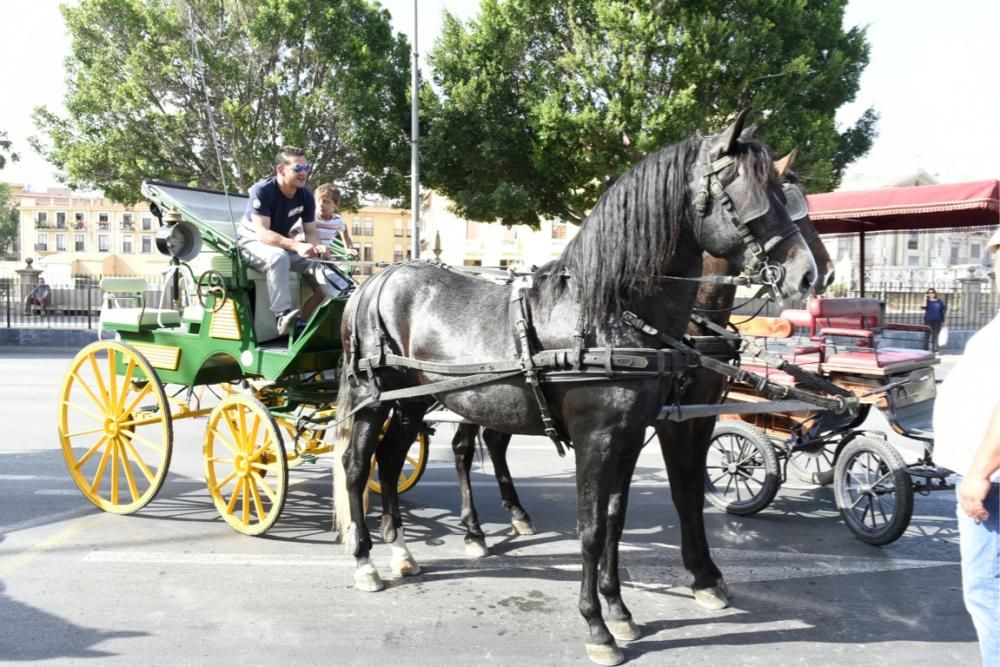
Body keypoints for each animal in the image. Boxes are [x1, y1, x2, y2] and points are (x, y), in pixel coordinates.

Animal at [332, 111, 816, 667]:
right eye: (746, 192)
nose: (809, 275)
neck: (611, 314)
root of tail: (376, 279)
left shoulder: (632, 435)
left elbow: (616, 520)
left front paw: (620, 610)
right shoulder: (599, 438)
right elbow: (592, 529)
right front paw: (597, 626)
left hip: (414, 402)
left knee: (391, 459)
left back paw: (401, 549)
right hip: (373, 399)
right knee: (357, 465)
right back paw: (366, 560)